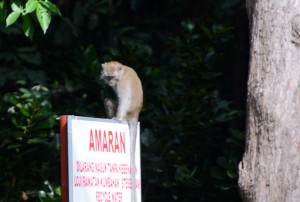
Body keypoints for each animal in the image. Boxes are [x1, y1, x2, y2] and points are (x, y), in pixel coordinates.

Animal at [101, 60, 143, 201]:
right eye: (108, 77)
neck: (122, 72)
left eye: (113, 77)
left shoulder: (122, 83)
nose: (110, 83)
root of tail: (135, 114)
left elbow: (124, 100)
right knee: (108, 101)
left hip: (127, 115)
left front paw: (117, 118)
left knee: (111, 101)